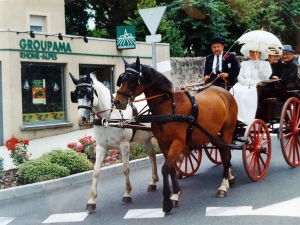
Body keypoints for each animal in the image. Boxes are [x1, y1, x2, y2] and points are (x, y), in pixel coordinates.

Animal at [68, 71, 159, 212]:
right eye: (76, 95)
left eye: (89, 93)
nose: (81, 119)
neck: (108, 118)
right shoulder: (101, 147)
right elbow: (96, 171)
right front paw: (91, 200)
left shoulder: (124, 145)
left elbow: (126, 169)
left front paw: (127, 194)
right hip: (146, 138)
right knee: (152, 156)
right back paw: (153, 182)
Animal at [113, 57, 238, 214]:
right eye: (122, 78)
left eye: (133, 80)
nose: (117, 102)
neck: (167, 107)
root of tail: (224, 92)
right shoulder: (163, 143)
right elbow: (172, 168)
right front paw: (175, 194)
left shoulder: (177, 142)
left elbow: (165, 168)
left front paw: (167, 201)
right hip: (213, 134)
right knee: (223, 151)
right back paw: (230, 178)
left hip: (227, 131)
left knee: (226, 154)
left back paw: (223, 185)